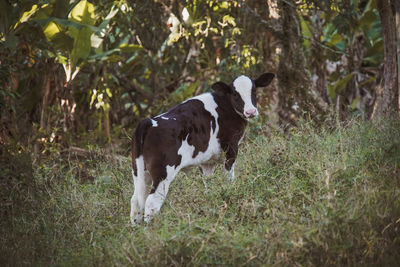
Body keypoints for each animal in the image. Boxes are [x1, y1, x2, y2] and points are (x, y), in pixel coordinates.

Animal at [131, 73, 276, 224]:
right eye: (235, 94)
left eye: (254, 91)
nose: (251, 111)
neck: (225, 106)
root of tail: (148, 121)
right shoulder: (231, 147)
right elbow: (228, 178)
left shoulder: (207, 161)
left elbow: (209, 185)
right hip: (162, 173)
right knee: (152, 202)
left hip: (139, 171)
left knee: (136, 201)